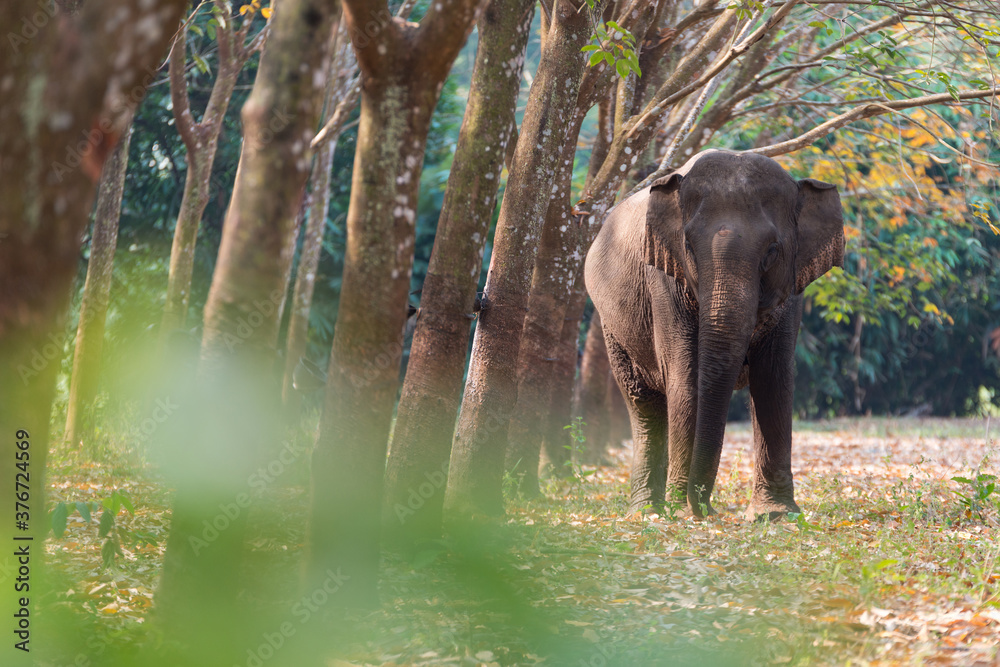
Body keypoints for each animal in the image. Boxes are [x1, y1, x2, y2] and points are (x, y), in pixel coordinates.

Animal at [584, 150, 845, 520]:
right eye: (689, 247)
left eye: (771, 252)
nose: (705, 509)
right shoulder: (664, 281)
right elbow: (687, 377)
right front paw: (681, 512)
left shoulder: (792, 287)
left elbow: (773, 378)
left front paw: (775, 515)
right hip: (611, 326)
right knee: (643, 403)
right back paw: (647, 511)